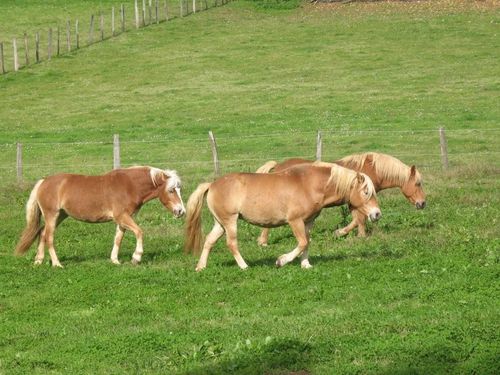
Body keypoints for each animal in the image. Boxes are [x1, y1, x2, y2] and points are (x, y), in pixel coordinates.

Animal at [15, 167, 186, 268]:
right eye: (171, 190)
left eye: (179, 189)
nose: (181, 211)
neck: (129, 186)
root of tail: (43, 182)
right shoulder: (122, 216)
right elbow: (139, 232)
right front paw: (136, 257)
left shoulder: (123, 219)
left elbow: (118, 239)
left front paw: (115, 260)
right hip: (52, 215)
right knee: (49, 237)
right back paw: (57, 264)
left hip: (60, 216)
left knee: (42, 233)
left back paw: (38, 260)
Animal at [186, 163, 380, 272]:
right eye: (366, 191)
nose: (377, 214)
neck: (309, 184)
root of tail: (212, 185)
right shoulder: (295, 221)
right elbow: (302, 242)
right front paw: (281, 261)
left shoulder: (308, 222)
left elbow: (307, 243)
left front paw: (306, 264)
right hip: (230, 221)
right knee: (231, 243)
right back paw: (244, 266)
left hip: (220, 223)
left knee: (209, 241)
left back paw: (200, 267)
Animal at [258, 153, 426, 247]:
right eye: (418, 183)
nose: (423, 203)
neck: (372, 169)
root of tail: (277, 166)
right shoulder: (357, 201)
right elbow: (359, 219)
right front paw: (341, 232)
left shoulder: (356, 203)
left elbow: (358, 220)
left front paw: (359, 235)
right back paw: (263, 242)